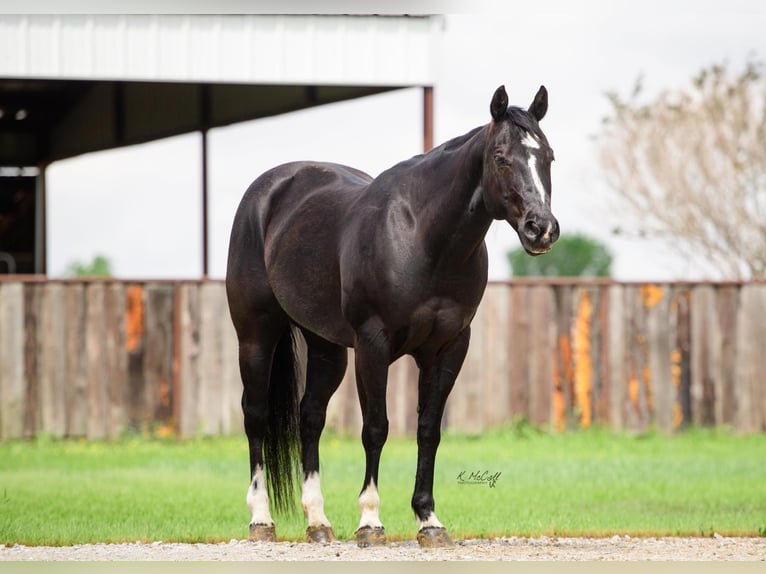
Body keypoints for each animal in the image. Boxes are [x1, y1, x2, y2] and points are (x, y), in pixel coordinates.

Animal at [225, 84, 560, 548]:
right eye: (501, 157)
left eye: (548, 156)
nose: (540, 229)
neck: (423, 238)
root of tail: (267, 191)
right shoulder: (373, 345)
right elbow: (376, 428)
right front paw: (370, 522)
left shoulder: (449, 347)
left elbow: (428, 430)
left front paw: (429, 521)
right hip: (256, 334)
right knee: (255, 414)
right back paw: (261, 519)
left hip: (326, 347)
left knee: (310, 417)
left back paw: (318, 521)